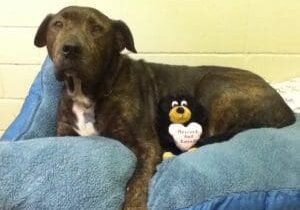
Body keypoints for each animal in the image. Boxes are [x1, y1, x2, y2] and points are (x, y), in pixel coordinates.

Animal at [34, 5, 296, 209]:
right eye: (58, 24)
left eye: (96, 29)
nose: (70, 48)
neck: (90, 92)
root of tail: (286, 109)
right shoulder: (65, 134)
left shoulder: (147, 145)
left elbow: (136, 182)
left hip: (213, 83)